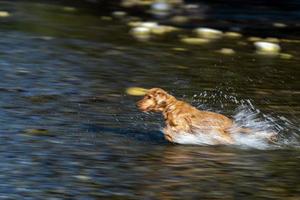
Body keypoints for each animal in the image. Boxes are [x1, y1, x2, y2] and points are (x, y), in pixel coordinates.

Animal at [137, 87, 276, 144]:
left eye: (149, 97)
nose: (137, 104)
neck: (170, 107)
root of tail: (232, 124)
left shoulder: (183, 126)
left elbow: (169, 130)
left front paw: (170, 136)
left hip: (221, 135)